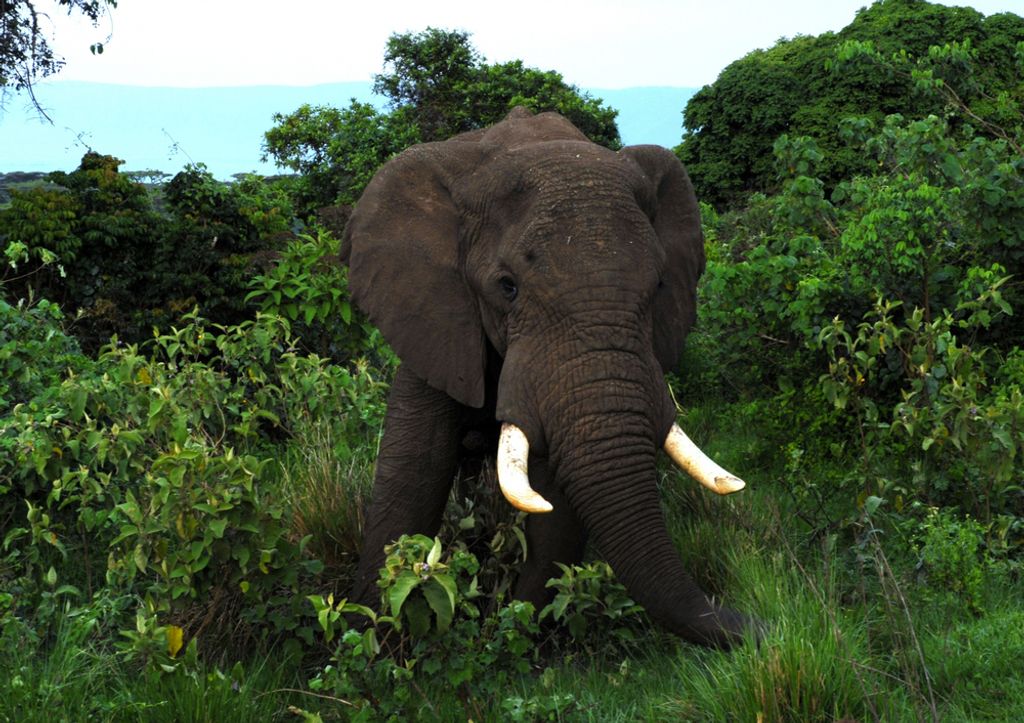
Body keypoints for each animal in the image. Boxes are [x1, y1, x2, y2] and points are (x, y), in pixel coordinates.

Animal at [340, 106, 755, 648]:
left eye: (661, 284)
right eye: (507, 287)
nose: (763, 626)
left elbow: (556, 497)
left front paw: (516, 625)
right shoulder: (431, 313)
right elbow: (415, 470)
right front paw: (368, 635)